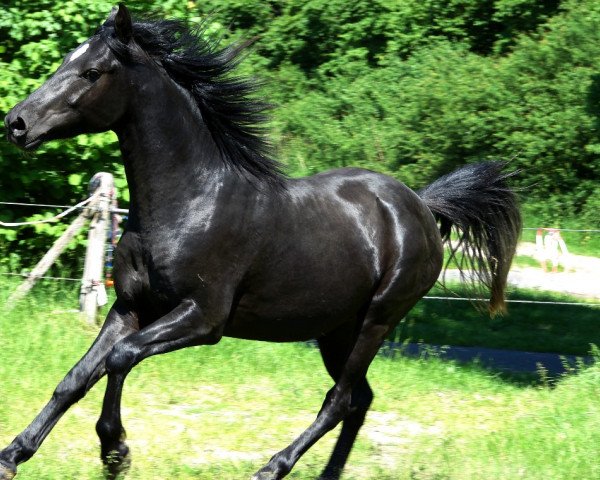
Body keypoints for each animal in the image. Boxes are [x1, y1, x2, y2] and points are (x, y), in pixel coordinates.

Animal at [1, 4, 520, 480]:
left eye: (92, 71)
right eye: (64, 59)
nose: (16, 123)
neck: (191, 200)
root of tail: (421, 206)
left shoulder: (203, 319)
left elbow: (120, 358)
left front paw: (115, 452)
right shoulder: (131, 306)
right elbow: (76, 378)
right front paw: (13, 455)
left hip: (377, 320)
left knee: (339, 400)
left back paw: (271, 468)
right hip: (336, 328)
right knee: (360, 400)